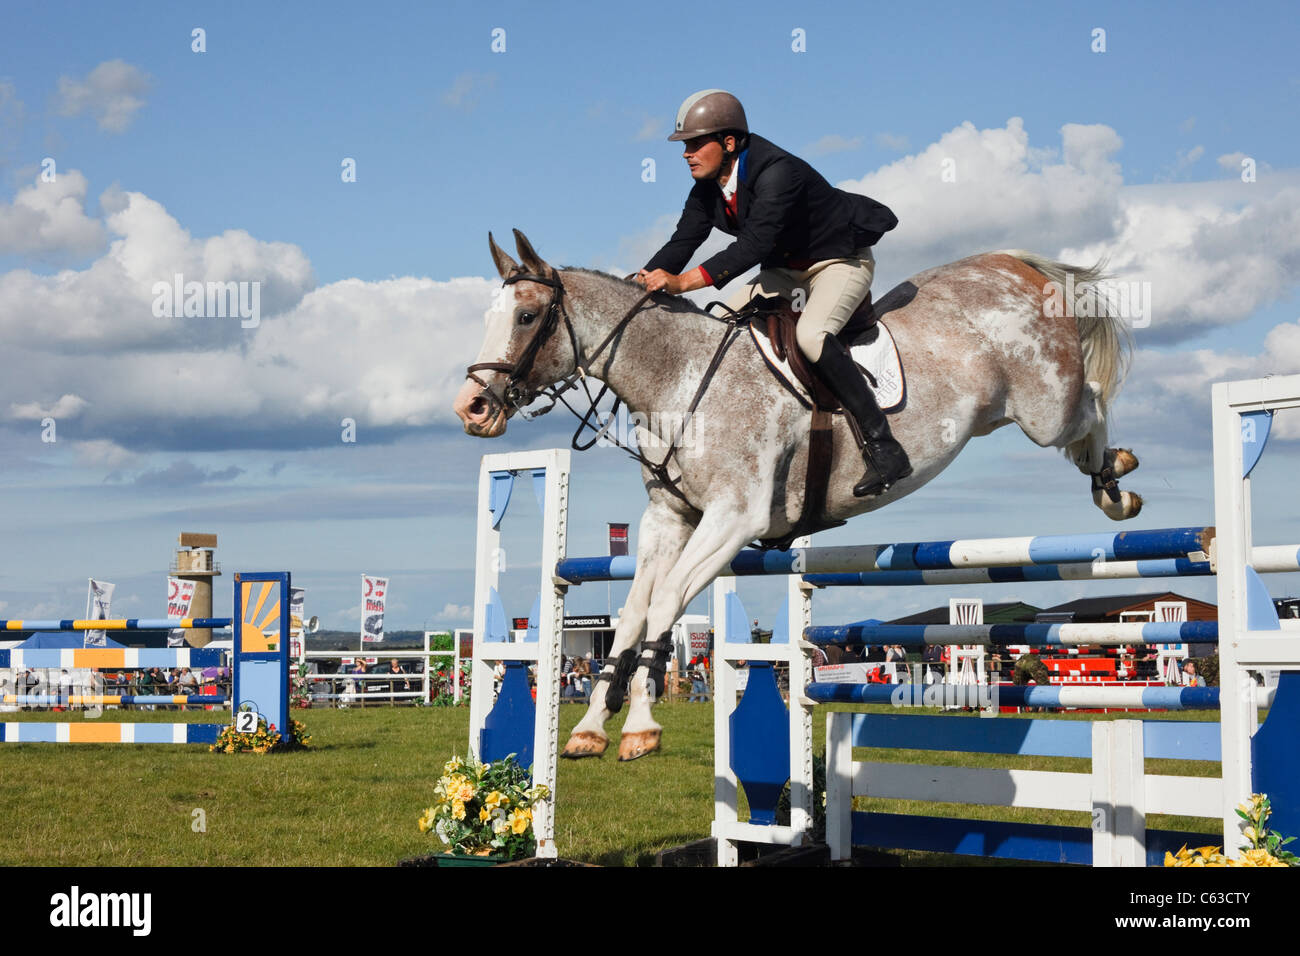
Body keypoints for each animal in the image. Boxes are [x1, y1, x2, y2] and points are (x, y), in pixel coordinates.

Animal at [454, 230, 1138, 764]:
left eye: (525, 318)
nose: (472, 408)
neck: (675, 378)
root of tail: (1011, 263)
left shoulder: (733, 519)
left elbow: (665, 603)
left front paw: (641, 728)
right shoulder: (670, 518)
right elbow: (632, 614)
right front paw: (594, 727)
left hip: (1044, 408)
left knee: (1093, 400)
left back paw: (1115, 485)